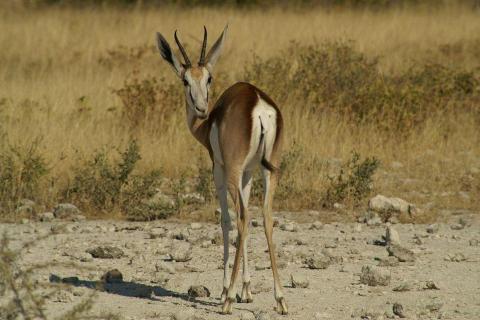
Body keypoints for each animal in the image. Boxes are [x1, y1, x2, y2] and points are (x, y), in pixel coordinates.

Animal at [156, 25, 286, 316]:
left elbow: (225, 220)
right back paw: (281, 299)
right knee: (265, 216)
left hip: (232, 174)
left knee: (241, 218)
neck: (208, 126)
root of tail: (259, 107)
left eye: (208, 78)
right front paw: (247, 290)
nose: (201, 109)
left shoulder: (219, 170)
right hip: (269, 170)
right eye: (185, 80)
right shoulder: (248, 174)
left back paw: (227, 302)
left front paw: (227, 290)